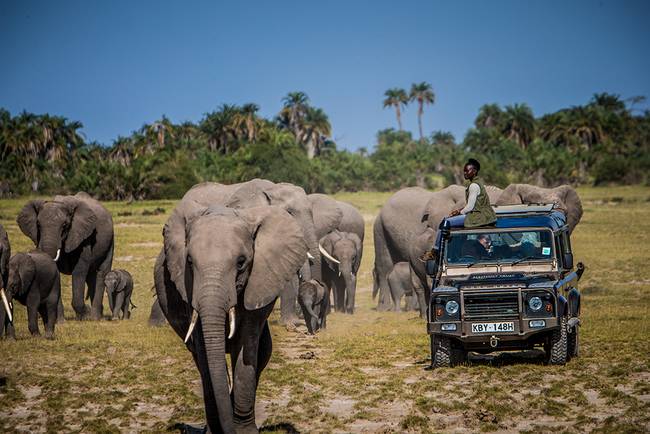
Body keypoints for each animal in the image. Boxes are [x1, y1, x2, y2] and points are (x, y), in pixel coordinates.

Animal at [17, 192, 114, 320]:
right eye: (38, 224)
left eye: (64, 225)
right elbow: (55, 273)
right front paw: (59, 321)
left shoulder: (83, 236)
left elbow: (79, 270)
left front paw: (86, 315)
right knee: (91, 276)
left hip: (110, 241)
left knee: (101, 272)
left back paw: (95, 317)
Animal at [155, 200, 308, 433]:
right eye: (189, 261)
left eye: (241, 262)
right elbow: (204, 354)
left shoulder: (259, 281)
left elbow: (246, 349)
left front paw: (244, 431)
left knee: (263, 353)